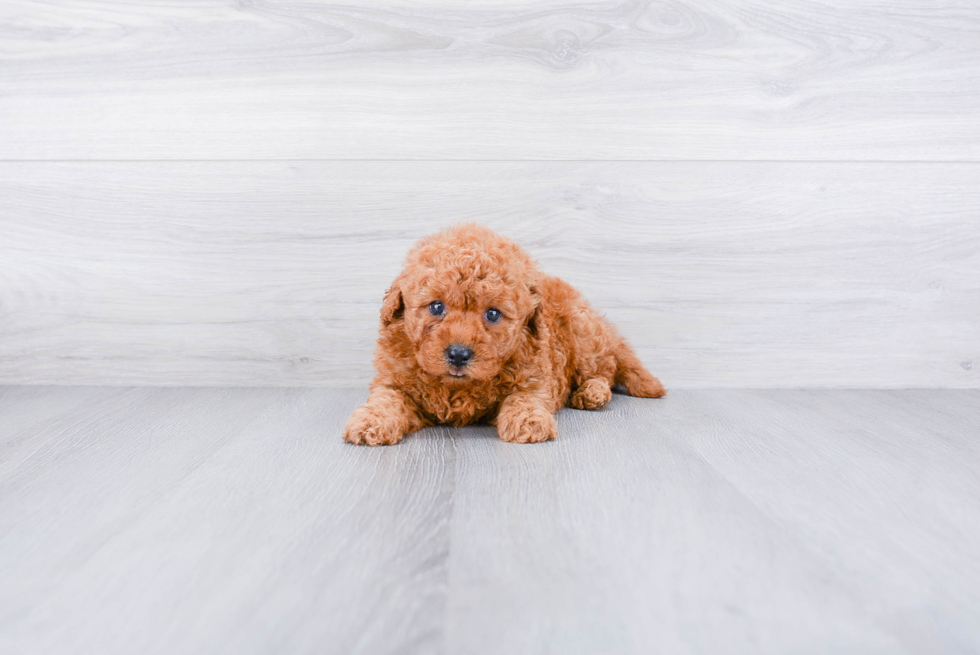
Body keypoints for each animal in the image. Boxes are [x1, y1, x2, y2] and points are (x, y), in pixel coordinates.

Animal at [344, 224, 668, 446]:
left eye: (493, 314)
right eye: (436, 307)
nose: (458, 354)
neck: (455, 386)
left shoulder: (535, 375)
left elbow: (524, 397)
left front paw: (529, 421)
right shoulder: (394, 381)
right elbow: (387, 399)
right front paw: (370, 421)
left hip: (584, 336)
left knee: (606, 368)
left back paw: (592, 392)